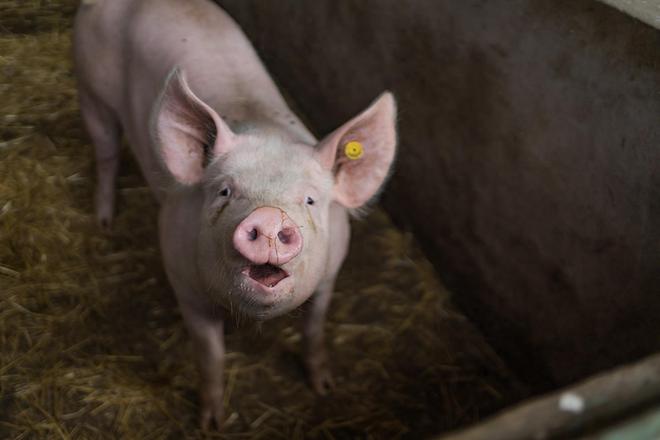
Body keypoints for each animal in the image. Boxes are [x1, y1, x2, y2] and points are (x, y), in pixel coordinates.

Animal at [75, 0, 400, 430]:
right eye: (225, 191)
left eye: (310, 200)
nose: (271, 217)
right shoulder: (184, 283)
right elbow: (210, 355)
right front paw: (211, 424)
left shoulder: (330, 276)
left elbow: (314, 329)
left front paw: (324, 387)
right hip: (90, 90)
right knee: (106, 152)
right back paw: (105, 222)